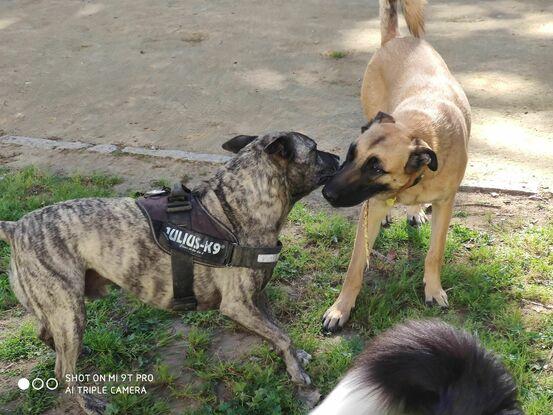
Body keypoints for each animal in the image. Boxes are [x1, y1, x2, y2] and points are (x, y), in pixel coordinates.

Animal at [0, 132, 338, 414]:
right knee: (62, 371)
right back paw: (89, 402)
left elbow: (280, 330)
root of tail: (16, 227)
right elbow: (281, 336)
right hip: (70, 310)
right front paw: (299, 375)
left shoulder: (258, 296)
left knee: (49, 338)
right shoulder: (238, 305)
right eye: (315, 150)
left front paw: (297, 357)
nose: (339, 156)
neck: (237, 203)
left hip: (60, 310)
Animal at [322, 0, 468, 332]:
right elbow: (354, 267)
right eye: (351, 153)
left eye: (376, 168)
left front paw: (433, 289)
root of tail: (396, 39)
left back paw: (414, 210)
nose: (327, 193)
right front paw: (340, 308)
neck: (419, 129)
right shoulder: (371, 207)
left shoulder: (445, 203)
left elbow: (435, 253)